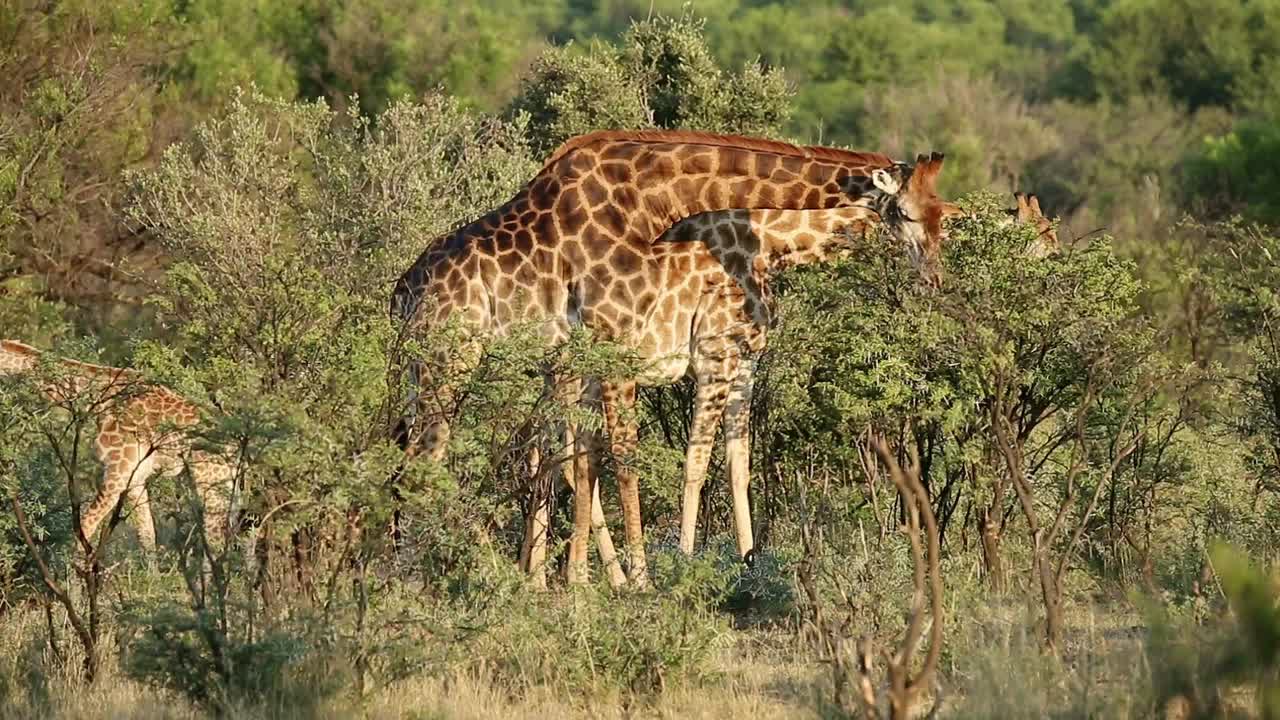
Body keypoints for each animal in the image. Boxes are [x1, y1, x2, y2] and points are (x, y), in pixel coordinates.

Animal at [0, 338, 232, 550]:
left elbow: (84, 529)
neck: (99, 400)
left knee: (215, 539)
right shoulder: (135, 478)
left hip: (208, 479)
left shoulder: (116, 474)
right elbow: (147, 536)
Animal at [394, 127, 962, 584]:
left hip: (475, 369)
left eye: (944, 219)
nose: (935, 280)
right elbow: (647, 460)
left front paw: (741, 562)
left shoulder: (723, 359)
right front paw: (653, 576)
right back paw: (432, 576)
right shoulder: (652, 350)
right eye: (905, 214)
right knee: (430, 459)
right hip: (452, 359)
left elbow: (728, 459)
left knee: (514, 455)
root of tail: (404, 289)